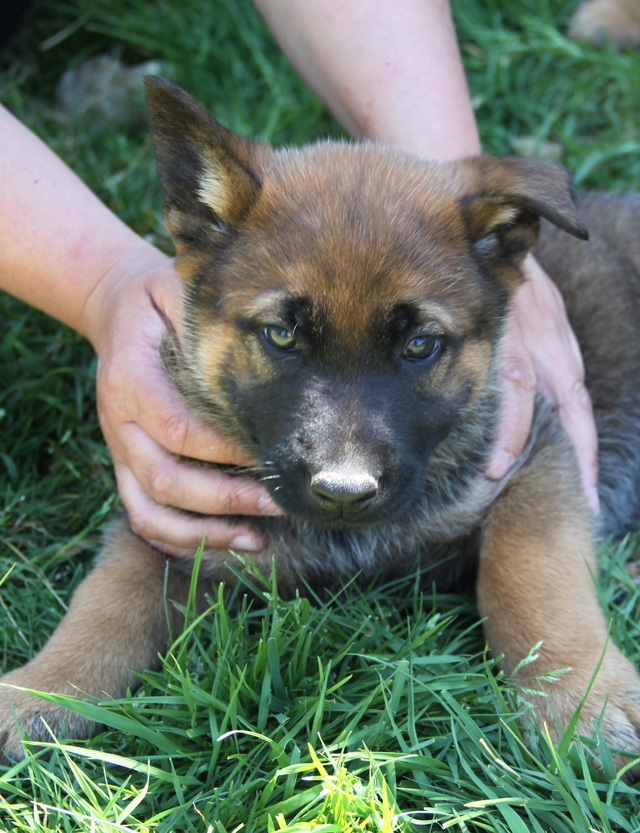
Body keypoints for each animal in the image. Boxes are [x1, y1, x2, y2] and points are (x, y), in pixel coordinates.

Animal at [1, 79, 640, 768]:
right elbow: (107, 601)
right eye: (282, 336)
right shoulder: (166, 522)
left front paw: (581, 699)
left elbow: (531, 576)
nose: (344, 491)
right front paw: (41, 689)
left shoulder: (536, 459)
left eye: (420, 345)